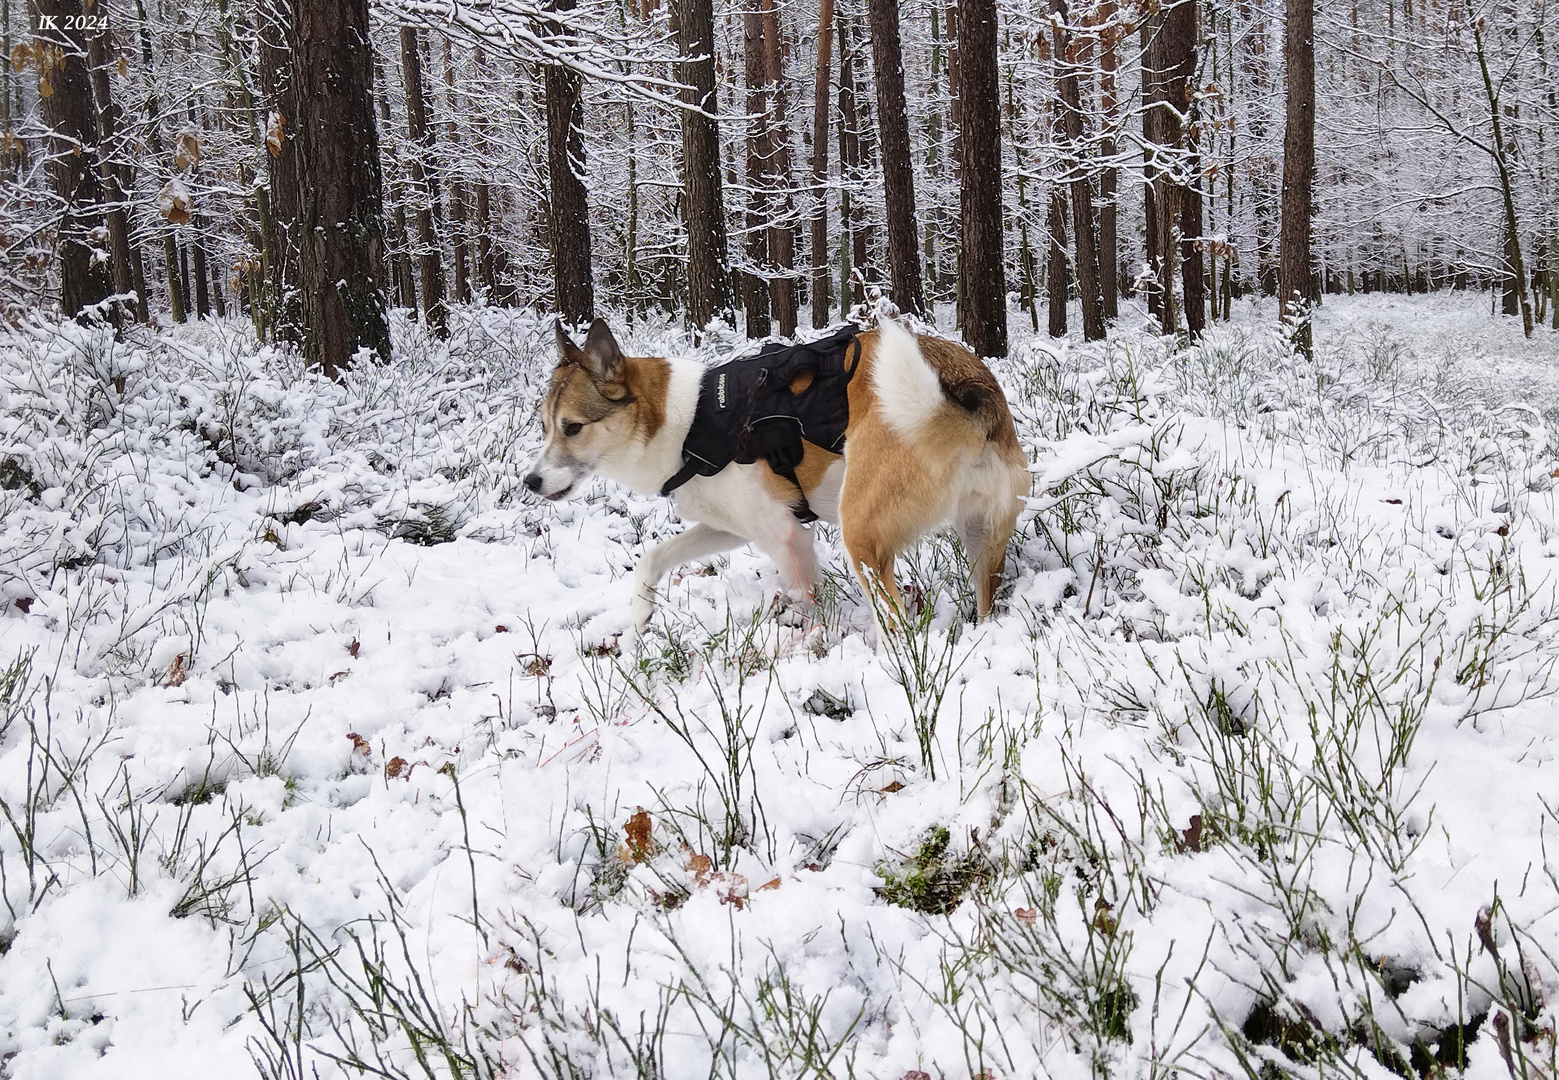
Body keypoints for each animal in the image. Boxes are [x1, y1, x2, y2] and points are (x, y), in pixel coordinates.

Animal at [523, 319, 1028, 635]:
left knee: (898, 625)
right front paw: (640, 618)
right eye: (544, 426)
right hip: (982, 538)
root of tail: (966, 388)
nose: (530, 482)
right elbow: (653, 557)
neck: (689, 424)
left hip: (860, 534)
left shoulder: (788, 537)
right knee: (984, 599)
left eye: (573, 427)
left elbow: (808, 601)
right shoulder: (732, 527)